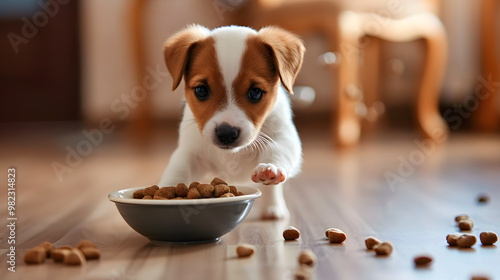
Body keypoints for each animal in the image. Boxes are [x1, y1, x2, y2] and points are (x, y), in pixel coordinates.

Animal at [159, 25, 304, 220]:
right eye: (201, 90)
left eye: (255, 92)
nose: (226, 133)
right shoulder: (190, 153)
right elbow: (178, 170)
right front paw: (165, 191)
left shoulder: (283, 137)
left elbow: (279, 151)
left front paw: (270, 168)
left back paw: (273, 207)